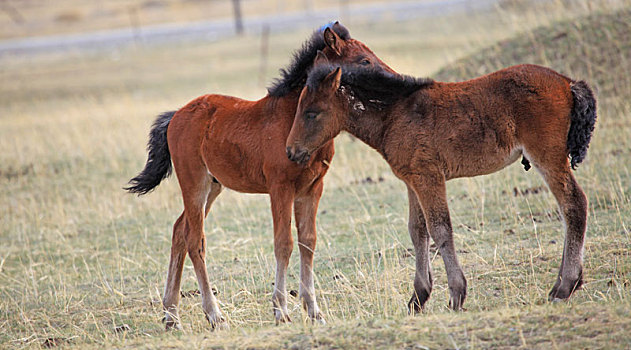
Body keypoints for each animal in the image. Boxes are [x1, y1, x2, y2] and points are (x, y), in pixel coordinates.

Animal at [126, 24, 396, 328]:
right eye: (364, 61)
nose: (393, 80)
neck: (291, 119)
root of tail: (175, 117)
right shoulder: (280, 187)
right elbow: (284, 243)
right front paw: (281, 310)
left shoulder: (313, 188)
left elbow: (308, 241)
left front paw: (314, 311)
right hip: (194, 183)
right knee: (195, 240)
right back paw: (214, 314)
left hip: (214, 186)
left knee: (179, 231)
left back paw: (172, 315)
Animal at [286, 64, 596, 314]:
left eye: (312, 113)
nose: (291, 151)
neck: (395, 114)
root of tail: (567, 82)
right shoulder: (412, 180)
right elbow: (418, 231)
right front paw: (417, 299)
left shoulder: (429, 177)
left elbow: (440, 229)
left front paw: (456, 295)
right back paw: (566, 283)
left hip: (547, 156)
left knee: (574, 204)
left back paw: (564, 287)